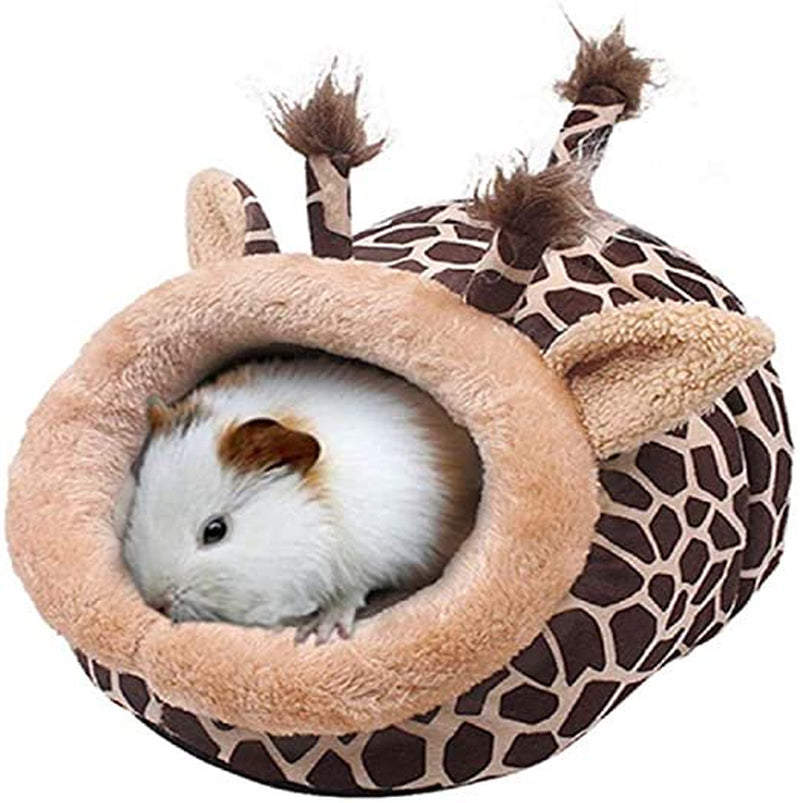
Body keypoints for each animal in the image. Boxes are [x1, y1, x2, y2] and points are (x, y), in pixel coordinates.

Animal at [122, 356, 482, 644]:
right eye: (138, 507)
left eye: (215, 530)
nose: (156, 602)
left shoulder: (377, 553)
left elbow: (353, 589)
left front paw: (320, 633)